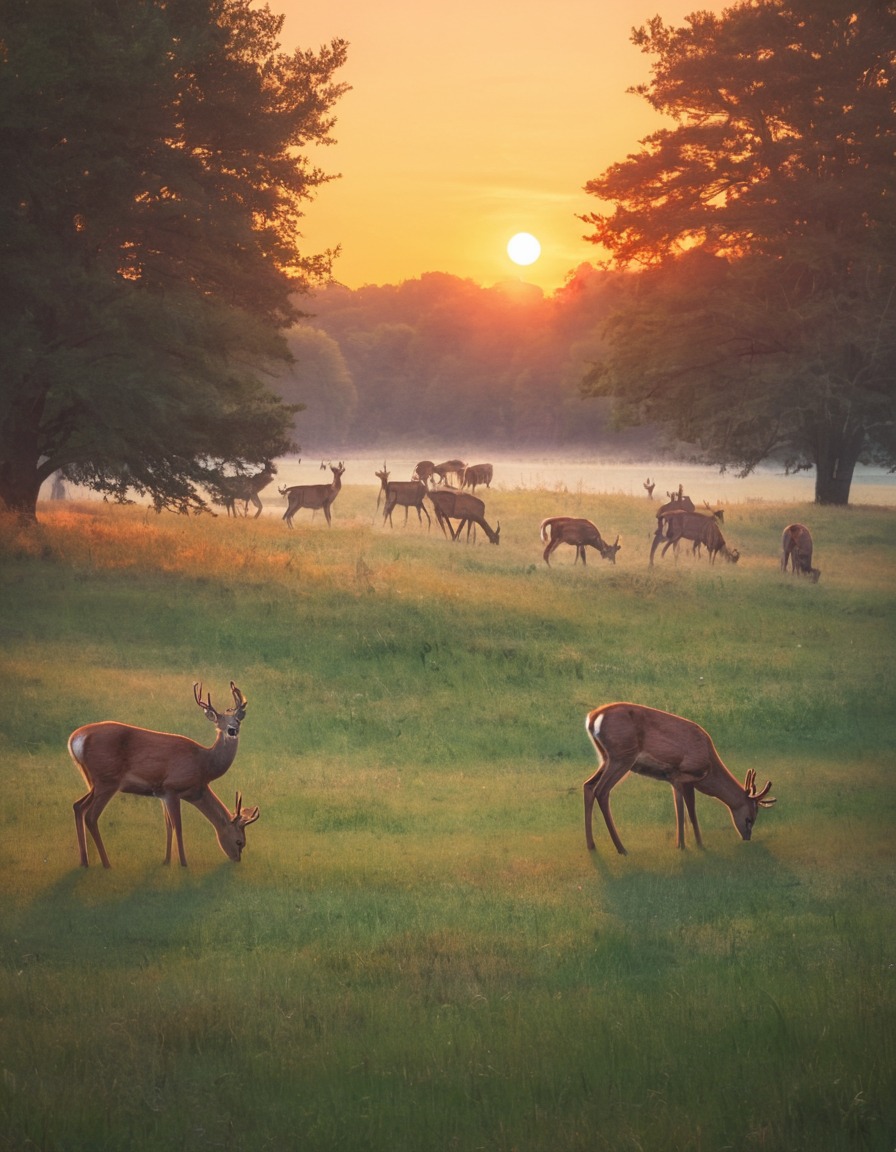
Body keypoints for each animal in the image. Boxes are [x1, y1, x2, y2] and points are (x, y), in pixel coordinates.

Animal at [67, 681, 256, 866]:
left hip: (93, 781)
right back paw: (106, 864)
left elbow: (168, 826)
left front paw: (166, 861)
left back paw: (84, 861)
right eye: (240, 841)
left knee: (78, 806)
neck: (203, 764)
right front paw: (184, 864)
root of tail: (75, 739)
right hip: (107, 781)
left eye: (237, 720)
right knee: (91, 816)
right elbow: (178, 827)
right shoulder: (172, 788)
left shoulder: (161, 794)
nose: (237, 859)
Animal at [582, 700, 769, 857]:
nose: (747, 837)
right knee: (601, 791)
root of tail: (593, 717)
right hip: (622, 757)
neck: (710, 766)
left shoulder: (674, 779)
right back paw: (621, 848)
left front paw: (680, 845)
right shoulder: (687, 775)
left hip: (606, 758)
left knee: (588, 785)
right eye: (751, 817)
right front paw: (700, 845)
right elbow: (691, 811)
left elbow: (679, 809)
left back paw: (591, 846)